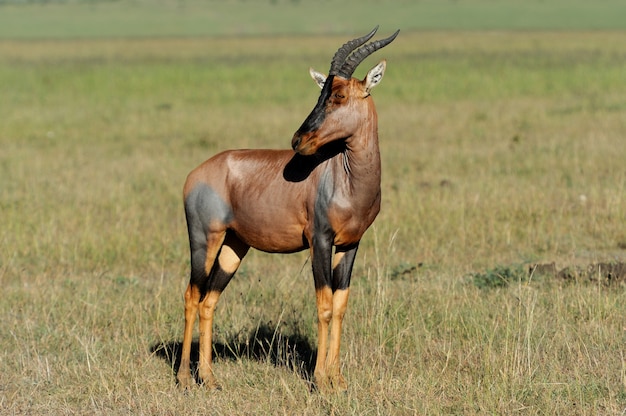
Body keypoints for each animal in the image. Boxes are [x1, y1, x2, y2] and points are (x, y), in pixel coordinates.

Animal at [178, 26, 398, 390]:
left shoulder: (350, 244)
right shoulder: (319, 240)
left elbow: (340, 305)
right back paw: (184, 377)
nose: (298, 140)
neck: (345, 174)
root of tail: (195, 175)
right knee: (192, 295)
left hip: (235, 245)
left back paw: (209, 378)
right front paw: (321, 380)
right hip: (204, 239)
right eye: (322, 93)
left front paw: (338, 379)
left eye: (339, 95)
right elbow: (324, 305)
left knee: (209, 300)